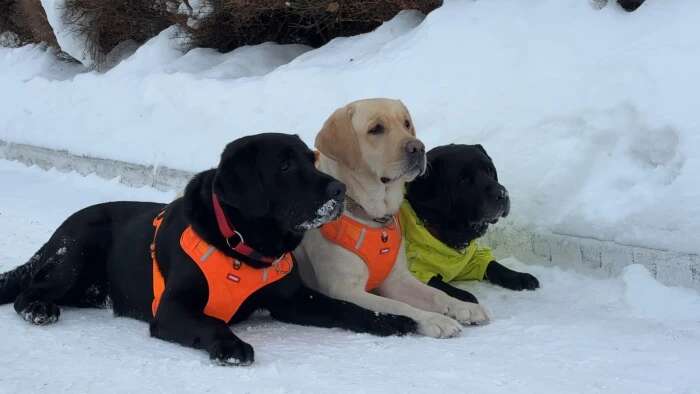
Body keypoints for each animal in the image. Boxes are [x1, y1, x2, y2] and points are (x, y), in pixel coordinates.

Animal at [0, 133, 416, 366]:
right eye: (284, 166)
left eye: (311, 159)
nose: (339, 191)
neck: (246, 246)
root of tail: (54, 238)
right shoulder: (171, 309)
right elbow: (212, 322)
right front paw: (231, 346)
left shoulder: (293, 300)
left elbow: (347, 308)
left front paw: (391, 320)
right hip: (78, 248)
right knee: (28, 291)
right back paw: (40, 309)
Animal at [294, 99, 486, 338]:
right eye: (376, 129)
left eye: (406, 123)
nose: (418, 147)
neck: (372, 217)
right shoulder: (345, 289)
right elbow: (398, 306)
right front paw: (435, 320)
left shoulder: (398, 279)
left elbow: (435, 294)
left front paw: (463, 306)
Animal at [402, 143, 540, 304]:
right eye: (463, 179)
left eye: (490, 171)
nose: (502, 193)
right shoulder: (417, 271)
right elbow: (440, 287)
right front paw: (464, 296)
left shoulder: (471, 259)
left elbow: (493, 265)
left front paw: (519, 277)